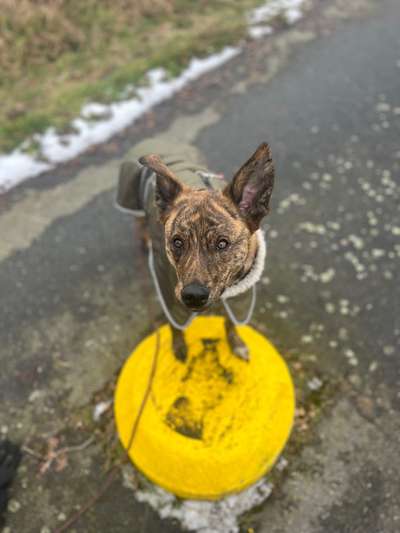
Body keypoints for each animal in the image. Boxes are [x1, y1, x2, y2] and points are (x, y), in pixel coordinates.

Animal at [138, 143, 276, 362]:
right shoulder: (169, 295)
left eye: (222, 243)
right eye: (177, 242)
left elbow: (231, 323)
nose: (193, 296)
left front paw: (236, 344)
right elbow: (175, 327)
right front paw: (179, 346)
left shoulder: (240, 299)